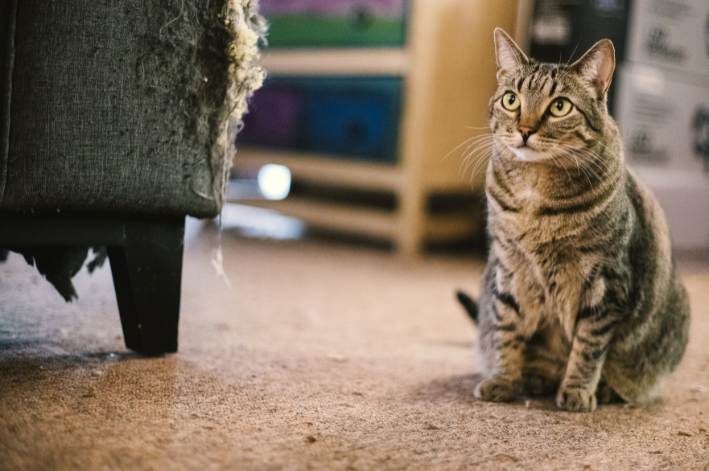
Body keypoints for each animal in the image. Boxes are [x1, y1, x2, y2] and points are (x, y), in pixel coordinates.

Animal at [456, 30, 688, 412]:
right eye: (511, 100)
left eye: (559, 106)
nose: (524, 129)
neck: (535, 193)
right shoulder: (510, 269)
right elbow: (506, 330)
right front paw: (504, 381)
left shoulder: (605, 285)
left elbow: (588, 347)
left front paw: (578, 391)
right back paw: (535, 379)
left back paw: (603, 390)